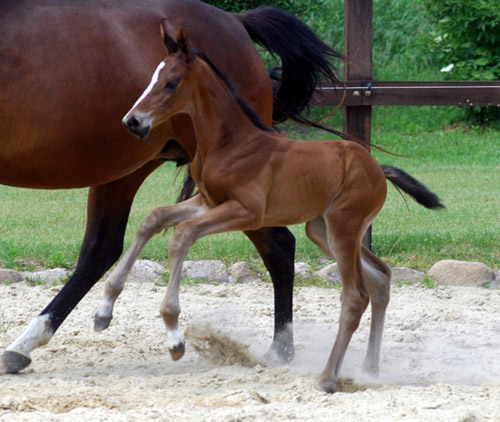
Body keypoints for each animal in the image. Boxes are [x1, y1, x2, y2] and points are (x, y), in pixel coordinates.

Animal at [0, 0, 342, 372]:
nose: (131, 119)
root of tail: (235, 22)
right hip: (126, 171)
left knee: (278, 245)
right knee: (103, 247)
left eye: (171, 82)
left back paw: (280, 350)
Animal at [96, 26, 442, 392]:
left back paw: (328, 378)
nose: (132, 121)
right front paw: (103, 312)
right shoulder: (208, 202)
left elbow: (182, 235)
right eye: (152, 78)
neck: (230, 143)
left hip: (344, 228)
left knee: (355, 295)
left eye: (171, 82)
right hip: (323, 230)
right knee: (381, 277)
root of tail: (377, 168)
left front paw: (175, 338)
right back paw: (369, 370)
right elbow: (153, 219)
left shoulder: (249, 211)